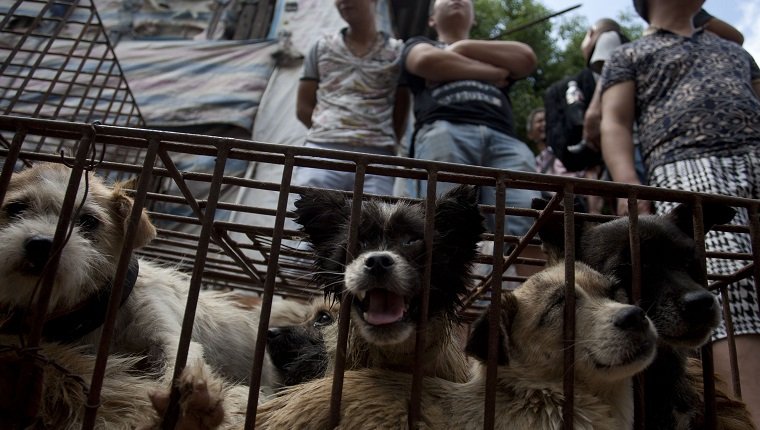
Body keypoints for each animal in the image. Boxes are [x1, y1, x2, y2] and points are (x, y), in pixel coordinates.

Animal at [0, 164, 282, 426]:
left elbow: (177, 360)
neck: (106, 313)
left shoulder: (163, 329)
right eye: (16, 208)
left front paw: (191, 407)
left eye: (89, 221)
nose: (40, 245)